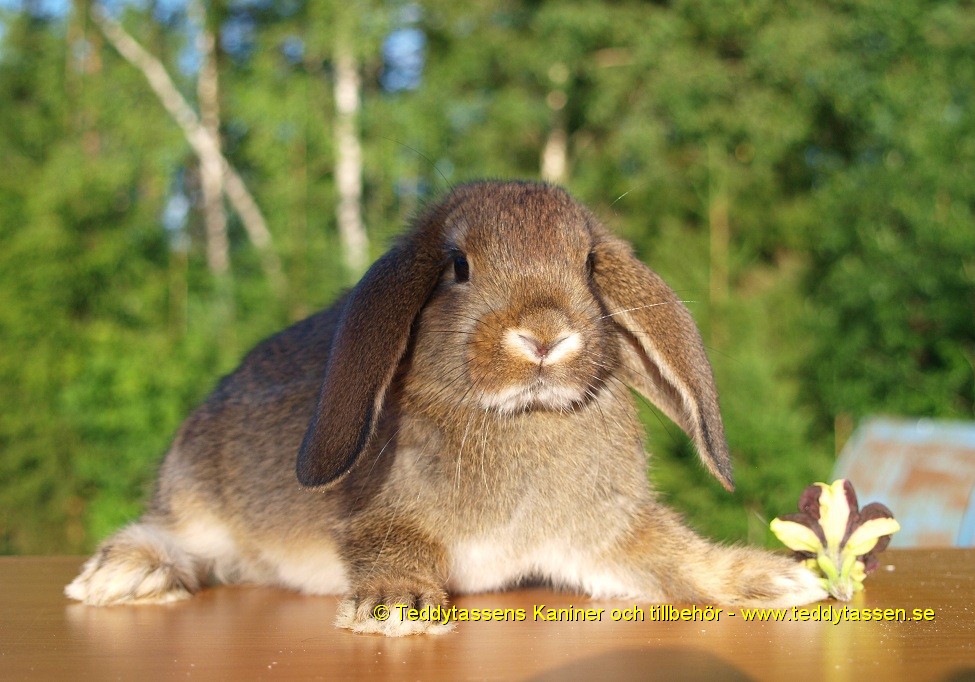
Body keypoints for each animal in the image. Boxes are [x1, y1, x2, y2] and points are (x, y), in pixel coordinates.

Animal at [68, 179, 828, 632]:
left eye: (587, 264)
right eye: (458, 267)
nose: (545, 334)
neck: (521, 417)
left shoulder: (603, 540)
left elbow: (680, 562)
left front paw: (784, 581)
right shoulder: (380, 512)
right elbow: (385, 543)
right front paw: (394, 609)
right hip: (196, 493)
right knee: (177, 538)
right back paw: (120, 577)